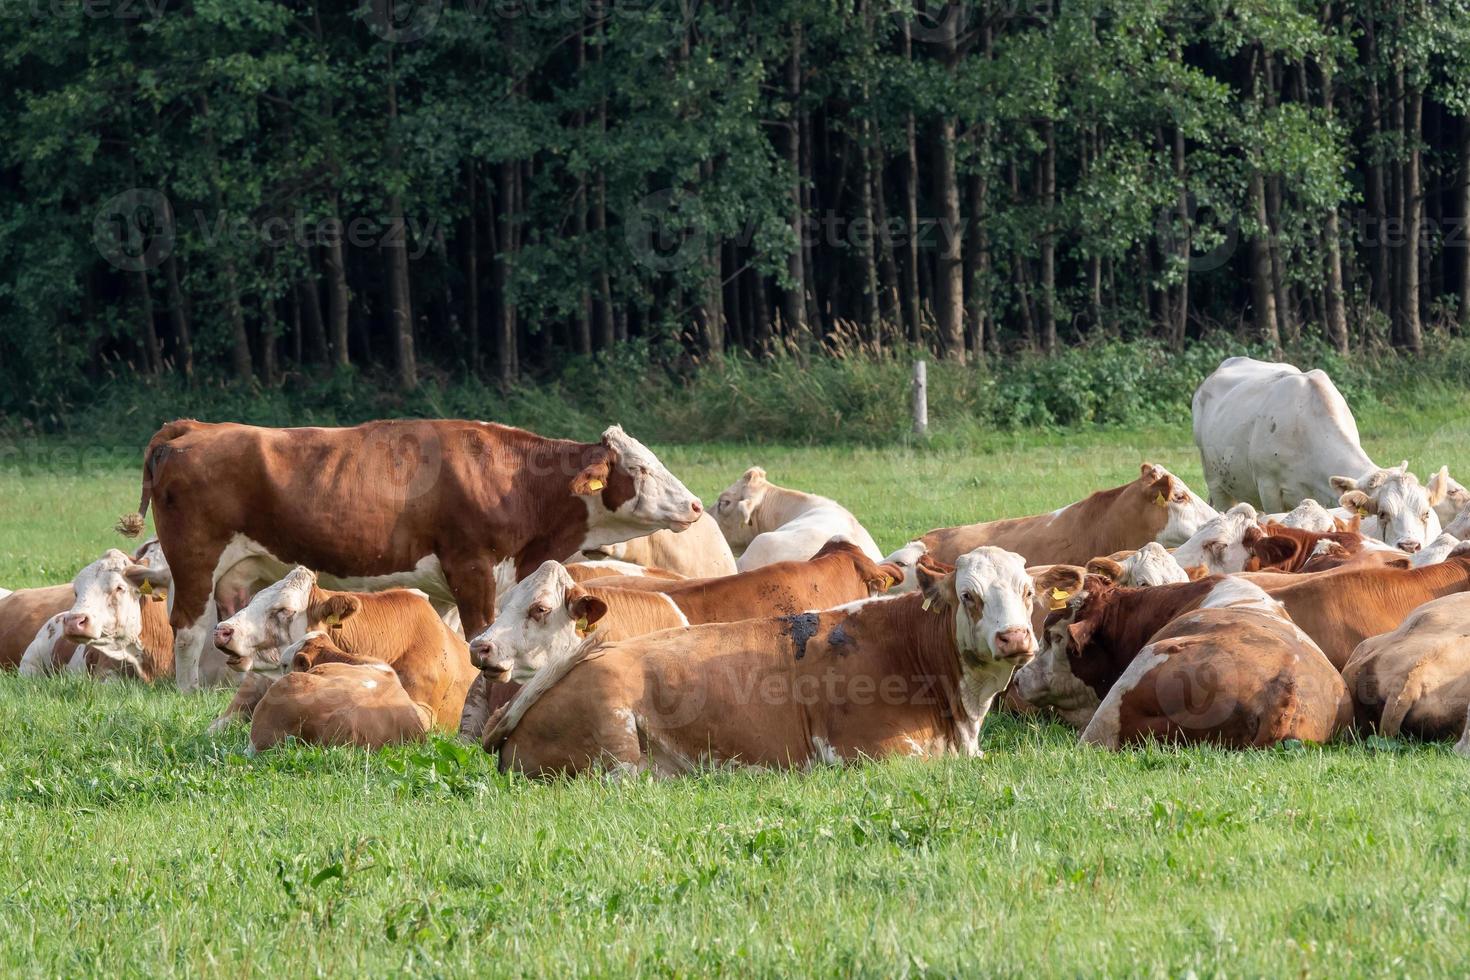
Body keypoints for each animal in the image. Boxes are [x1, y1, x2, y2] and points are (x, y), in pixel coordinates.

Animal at [114, 417, 699, 693]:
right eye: (641, 468)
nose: (695, 505)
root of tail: (194, 429)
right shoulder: (473, 568)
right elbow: (479, 632)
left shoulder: (447, 583)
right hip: (194, 558)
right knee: (189, 629)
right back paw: (188, 690)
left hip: (238, 571)